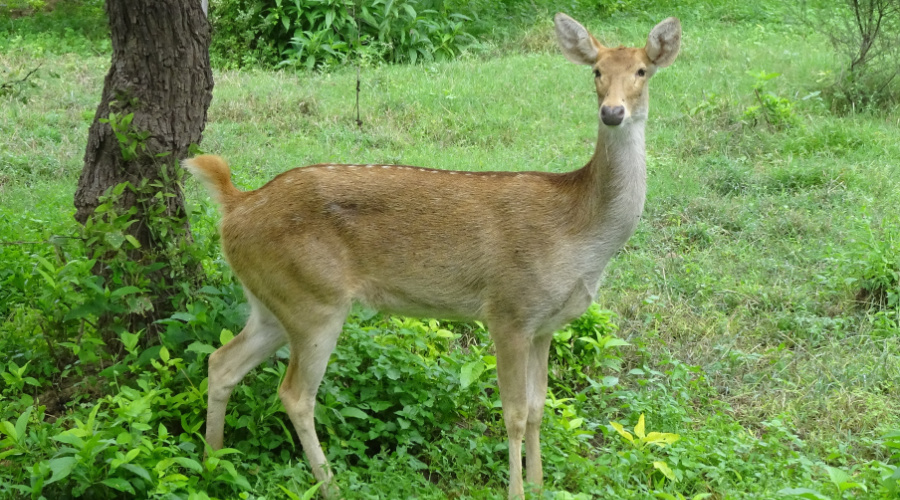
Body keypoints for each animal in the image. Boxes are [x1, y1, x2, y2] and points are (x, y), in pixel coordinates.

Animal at [185, 12, 676, 500]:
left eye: (641, 71)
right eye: (596, 71)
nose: (612, 112)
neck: (578, 234)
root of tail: (235, 205)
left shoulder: (545, 326)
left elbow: (539, 408)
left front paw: (539, 486)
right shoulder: (509, 310)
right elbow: (515, 414)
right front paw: (518, 491)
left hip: (273, 300)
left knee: (221, 362)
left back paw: (213, 461)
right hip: (314, 300)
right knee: (294, 394)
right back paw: (329, 485)